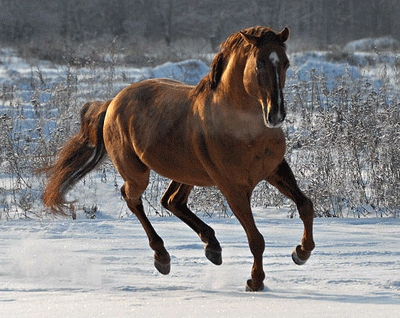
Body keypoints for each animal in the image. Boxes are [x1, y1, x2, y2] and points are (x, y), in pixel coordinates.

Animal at [41, 26, 316, 290]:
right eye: (258, 63)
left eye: (286, 62)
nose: (276, 114)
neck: (243, 128)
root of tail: (113, 103)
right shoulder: (233, 188)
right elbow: (256, 239)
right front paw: (255, 282)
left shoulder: (275, 169)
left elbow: (305, 205)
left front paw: (301, 253)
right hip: (138, 173)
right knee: (133, 199)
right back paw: (162, 258)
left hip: (187, 172)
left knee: (172, 201)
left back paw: (212, 247)